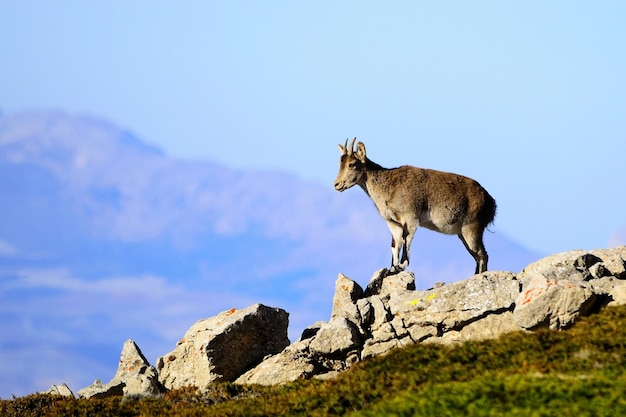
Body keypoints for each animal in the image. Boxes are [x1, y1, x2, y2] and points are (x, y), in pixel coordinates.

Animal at [334, 137, 494, 272]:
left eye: (352, 164)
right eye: (340, 164)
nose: (337, 184)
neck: (388, 186)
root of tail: (491, 202)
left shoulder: (410, 217)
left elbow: (406, 239)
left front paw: (402, 265)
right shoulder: (393, 223)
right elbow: (394, 245)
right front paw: (392, 269)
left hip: (472, 228)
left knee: (483, 255)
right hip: (462, 233)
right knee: (478, 256)